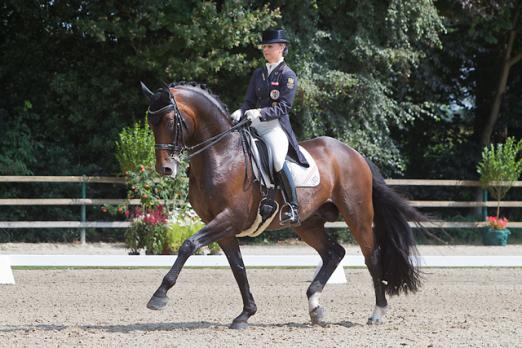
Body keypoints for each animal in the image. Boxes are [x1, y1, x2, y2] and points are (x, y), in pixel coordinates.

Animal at [140, 81, 424, 328]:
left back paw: (377, 312)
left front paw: (159, 296)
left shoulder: (229, 218)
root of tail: (354, 154)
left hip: (357, 215)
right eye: (151, 123)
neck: (221, 154)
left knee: (371, 255)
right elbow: (238, 268)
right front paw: (245, 314)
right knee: (334, 253)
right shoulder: (222, 227)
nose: (165, 168)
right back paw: (315, 307)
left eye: (170, 121)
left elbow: (188, 245)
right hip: (307, 224)